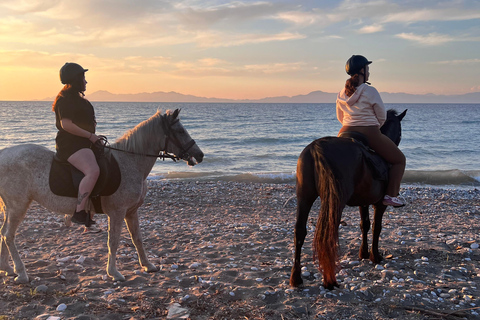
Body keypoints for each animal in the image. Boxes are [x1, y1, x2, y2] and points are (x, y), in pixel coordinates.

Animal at [0, 109, 203, 282]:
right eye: (180, 130)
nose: (199, 155)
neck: (130, 160)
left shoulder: (131, 212)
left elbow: (137, 238)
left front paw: (148, 265)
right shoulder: (117, 212)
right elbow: (113, 241)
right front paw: (114, 273)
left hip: (11, 207)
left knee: (3, 233)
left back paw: (7, 269)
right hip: (18, 206)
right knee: (9, 236)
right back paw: (21, 273)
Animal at [290, 109, 406, 288]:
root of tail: (317, 148)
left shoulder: (363, 202)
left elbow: (364, 225)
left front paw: (363, 253)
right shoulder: (379, 204)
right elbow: (376, 227)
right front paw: (375, 256)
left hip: (304, 197)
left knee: (300, 231)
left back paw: (296, 278)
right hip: (335, 201)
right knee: (329, 233)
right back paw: (329, 279)